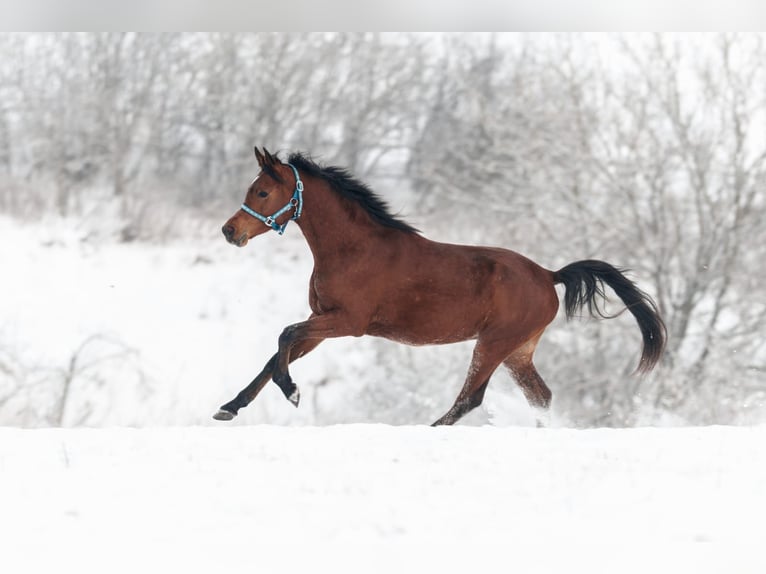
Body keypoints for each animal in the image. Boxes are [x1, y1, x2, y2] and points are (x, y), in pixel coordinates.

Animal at [215, 146, 666, 426]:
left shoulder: (347, 322)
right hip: (518, 352)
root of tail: (548, 274)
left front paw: (292, 392)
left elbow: (284, 336)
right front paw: (230, 407)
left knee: (472, 398)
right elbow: (276, 354)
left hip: (494, 344)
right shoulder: (322, 320)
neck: (353, 248)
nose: (229, 231)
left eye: (262, 190)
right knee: (540, 396)